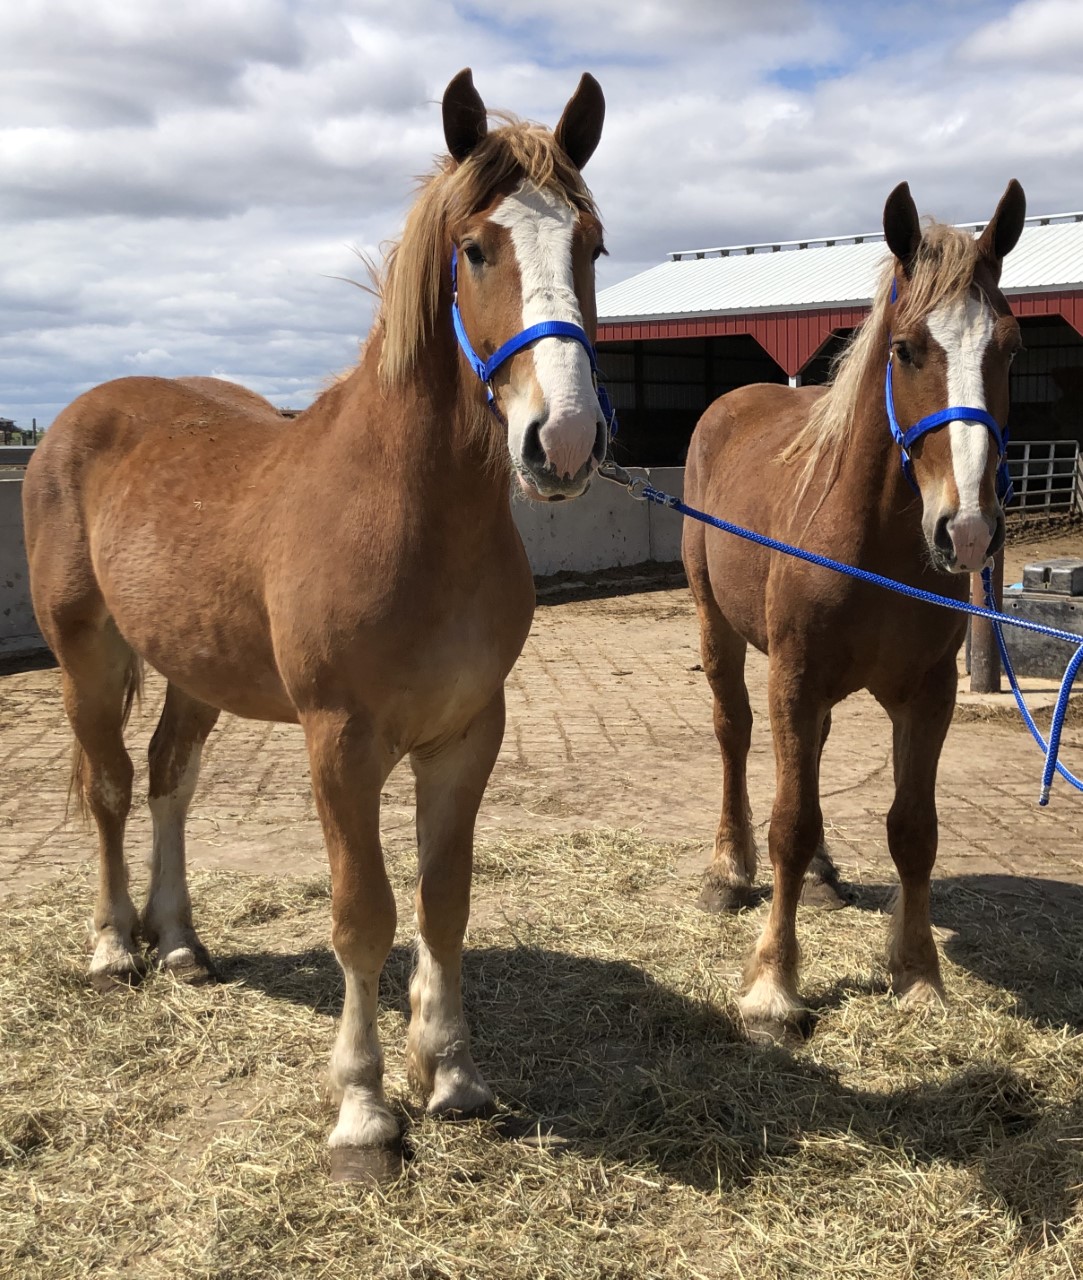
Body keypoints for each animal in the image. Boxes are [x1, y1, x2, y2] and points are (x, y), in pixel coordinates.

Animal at [22, 68, 609, 1181]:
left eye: (591, 246)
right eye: (478, 247)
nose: (562, 442)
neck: (410, 512)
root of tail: (78, 415)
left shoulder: (467, 734)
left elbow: (444, 901)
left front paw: (452, 1075)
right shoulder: (341, 742)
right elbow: (363, 916)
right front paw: (365, 1111)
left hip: (196, 671)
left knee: (168, 778)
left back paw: (180, 942)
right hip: (86, 651)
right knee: (110, 787)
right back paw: (116, 944)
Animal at [682, 179, 1026, 1040]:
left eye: (1010, 349)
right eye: (904, 348)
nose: (967, 529)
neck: (871, 544)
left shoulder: (928, 693)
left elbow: (912, 829)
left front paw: (918, 974)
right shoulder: (795, 679)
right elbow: (788, 822)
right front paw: (773, 987)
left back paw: (822, 877)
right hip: (717, 628)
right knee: (734, 735)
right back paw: (727, 872)